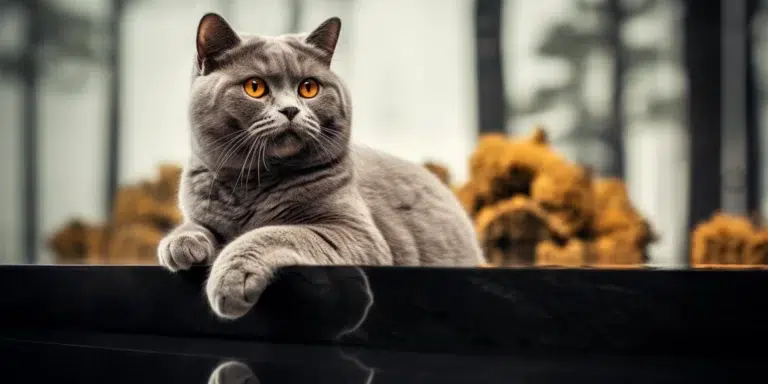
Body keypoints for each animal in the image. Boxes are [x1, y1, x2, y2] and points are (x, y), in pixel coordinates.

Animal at [158, 12, 484, 320]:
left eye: (308, 88)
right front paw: (181, 243)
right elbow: (197, 225)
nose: (290, 110)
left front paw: (231, 279)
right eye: (255, 87)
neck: (253, 182)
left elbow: (272, 233)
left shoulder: (355, 232)